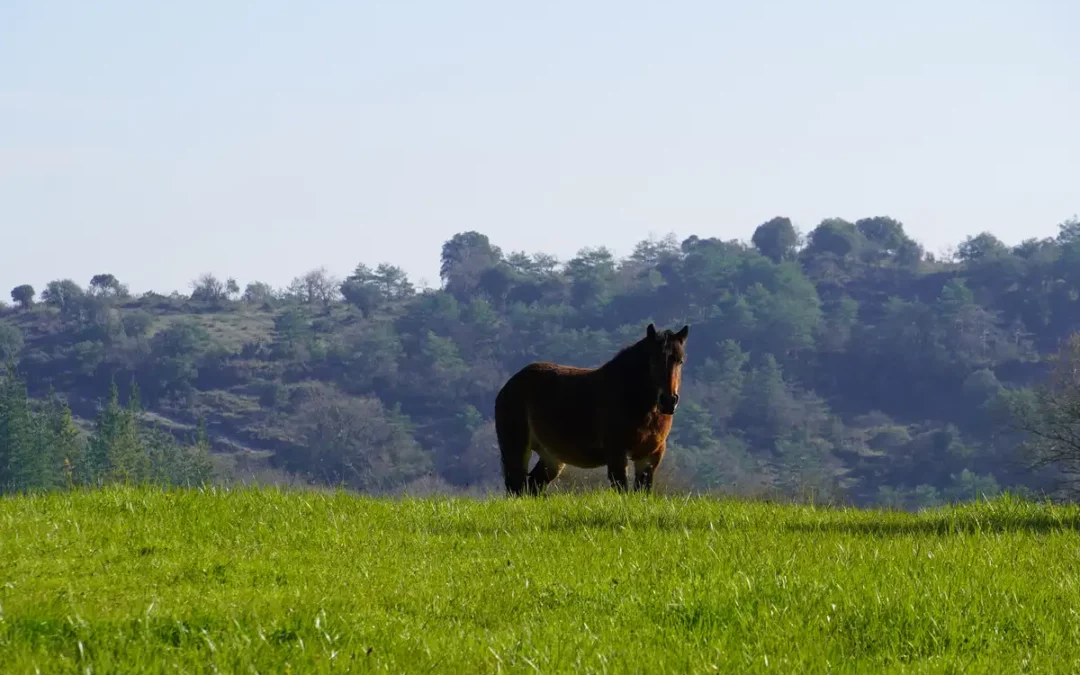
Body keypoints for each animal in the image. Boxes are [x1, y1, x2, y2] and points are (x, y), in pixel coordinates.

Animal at [494, 322, 689, 495]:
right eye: (653, 362)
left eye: (680, 361)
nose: (669, 401)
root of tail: (509, 385)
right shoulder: (617, 454)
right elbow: (622, 489)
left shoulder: (650, 456)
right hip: (516, 448)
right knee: (517, 487)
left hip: (551, 456)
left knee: (533, 485)